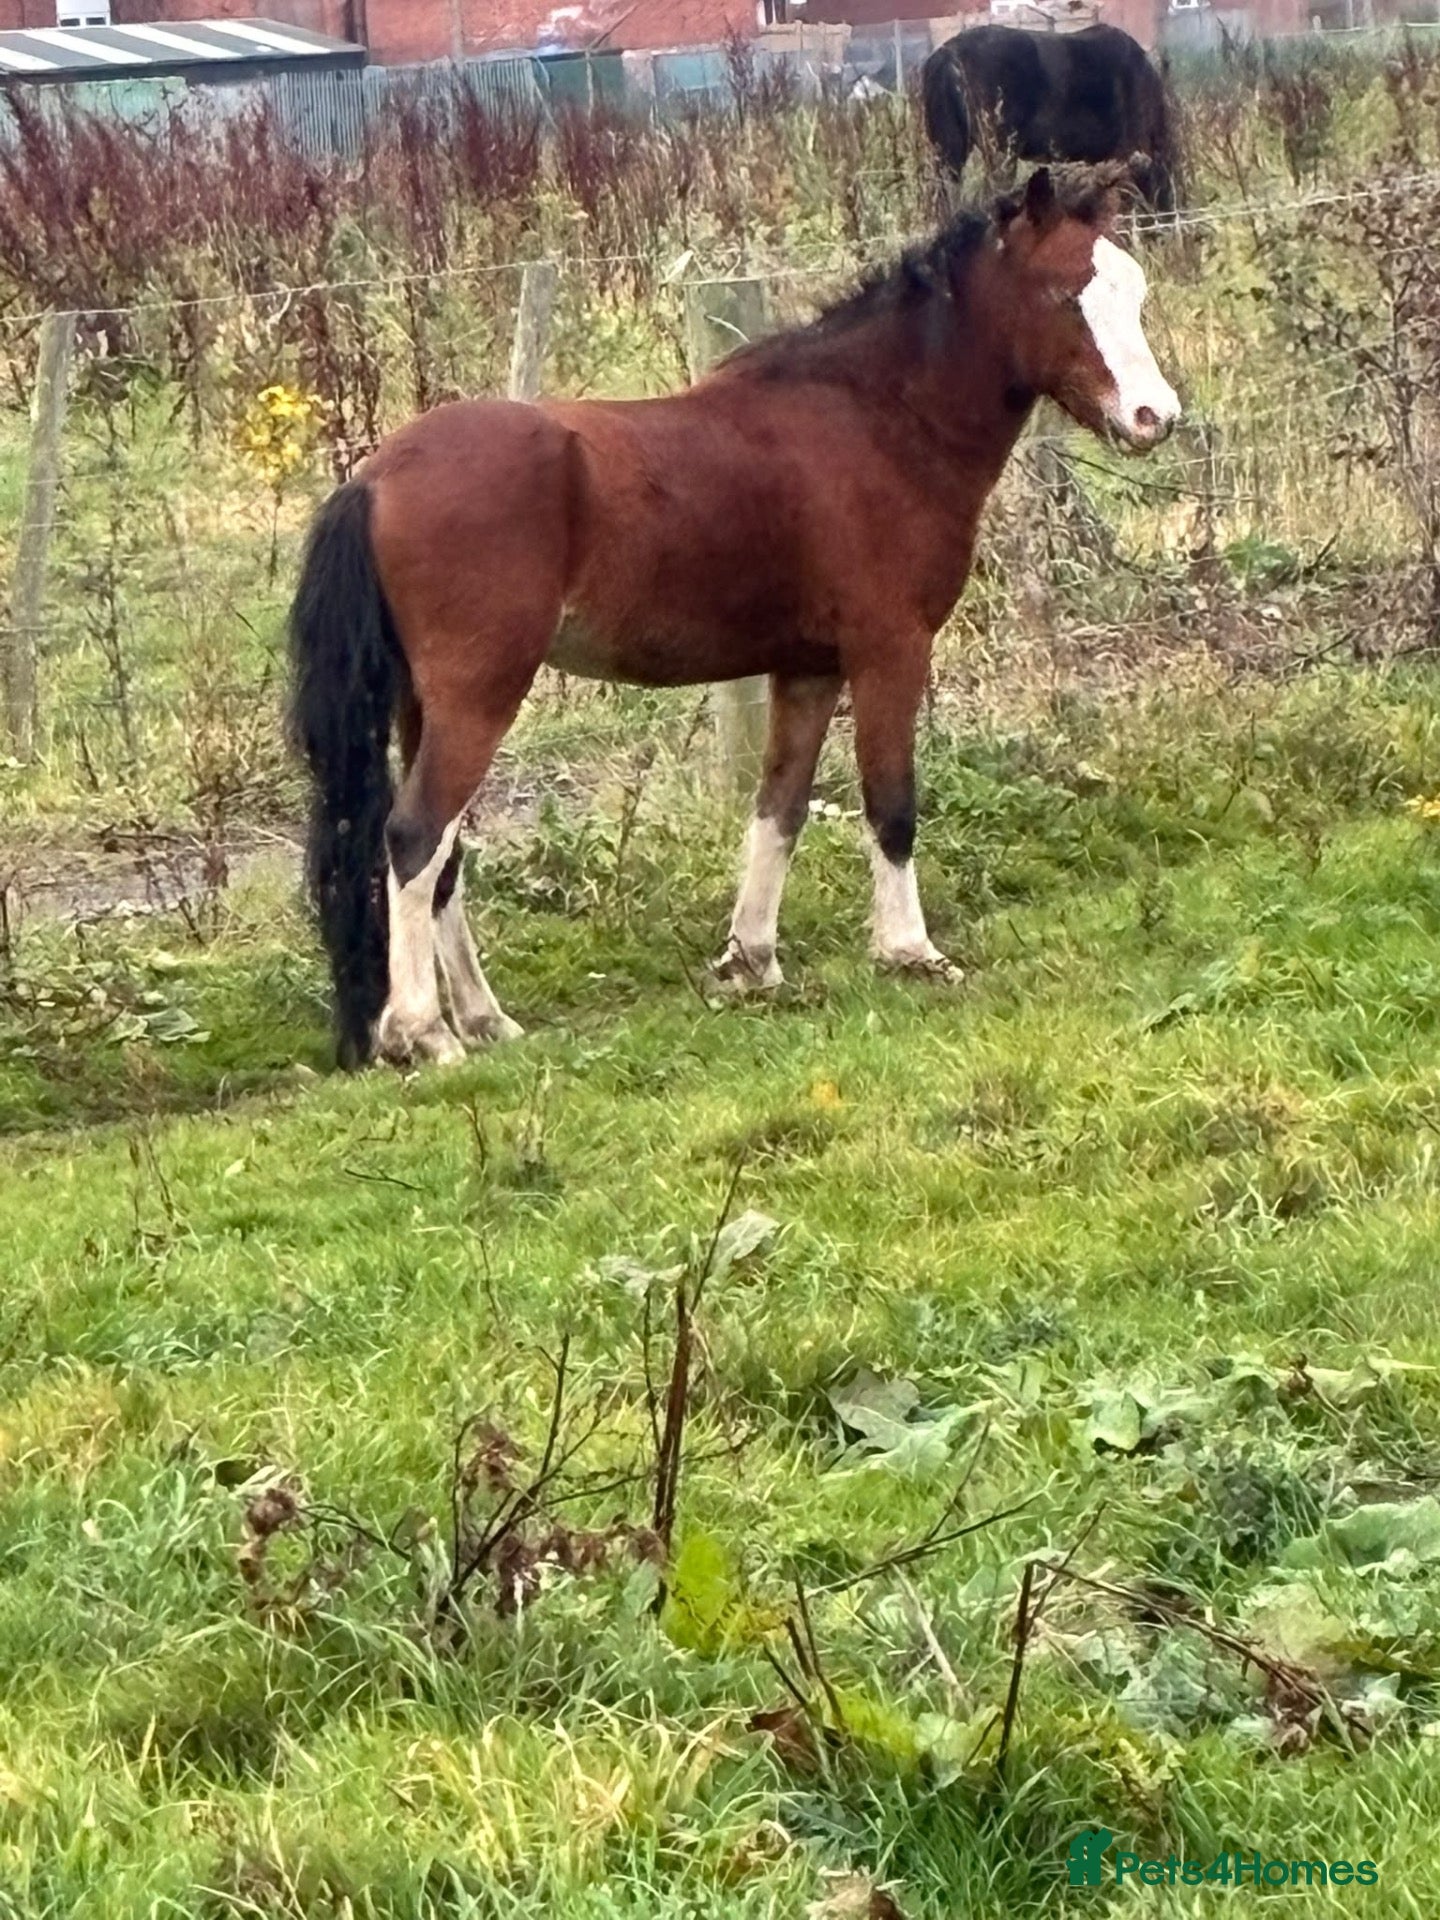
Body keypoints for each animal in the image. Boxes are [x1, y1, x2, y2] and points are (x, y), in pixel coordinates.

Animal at [289, 167, 1180, 1071]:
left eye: (1134, 289)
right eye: (1064, 292)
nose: (1156, 417)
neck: (877, 420)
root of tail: (375, 476)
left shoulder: (810, 670)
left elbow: (779, 808)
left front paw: (751, 960)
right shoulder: (890, 651)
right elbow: (890, 802)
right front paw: (910, 952)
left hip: (426, 706)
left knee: (444, 856)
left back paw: (482, 1019)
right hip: (479, 698)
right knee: (415, 837)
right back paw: (421, 1031)